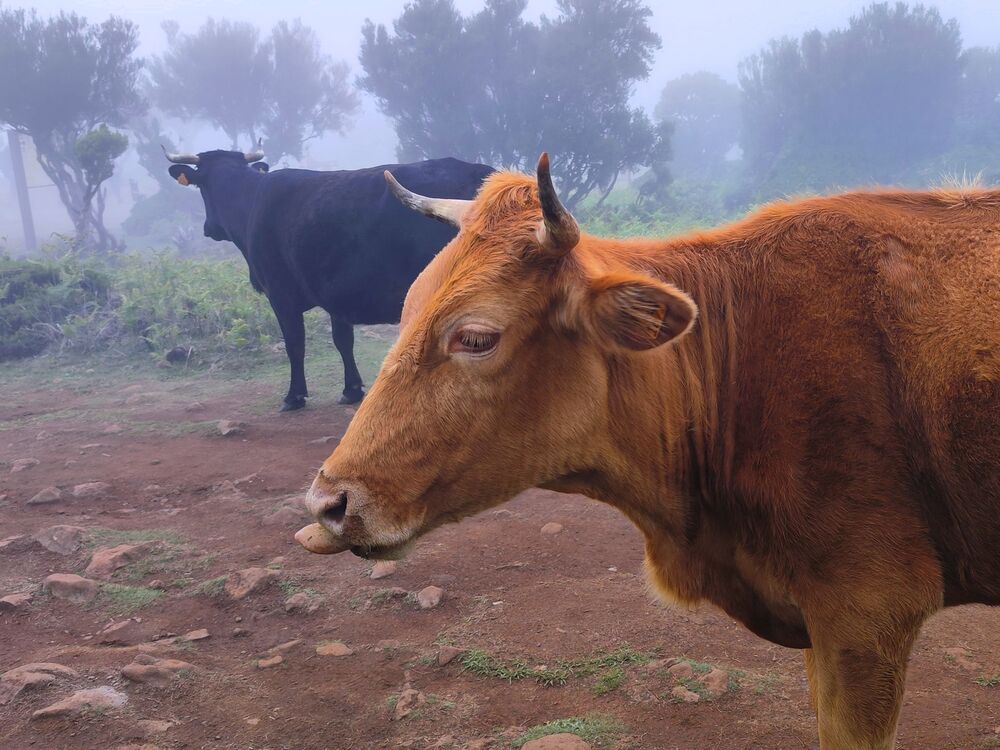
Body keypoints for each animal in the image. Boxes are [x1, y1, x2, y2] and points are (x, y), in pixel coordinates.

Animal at [163, 144, 493, 409]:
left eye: (202, 188)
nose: (209, 228)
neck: (251, 201)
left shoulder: (280, 294)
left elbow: (294, 343)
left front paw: (294, 396)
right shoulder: (338, 295)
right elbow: (342, 340)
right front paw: (352, 389)